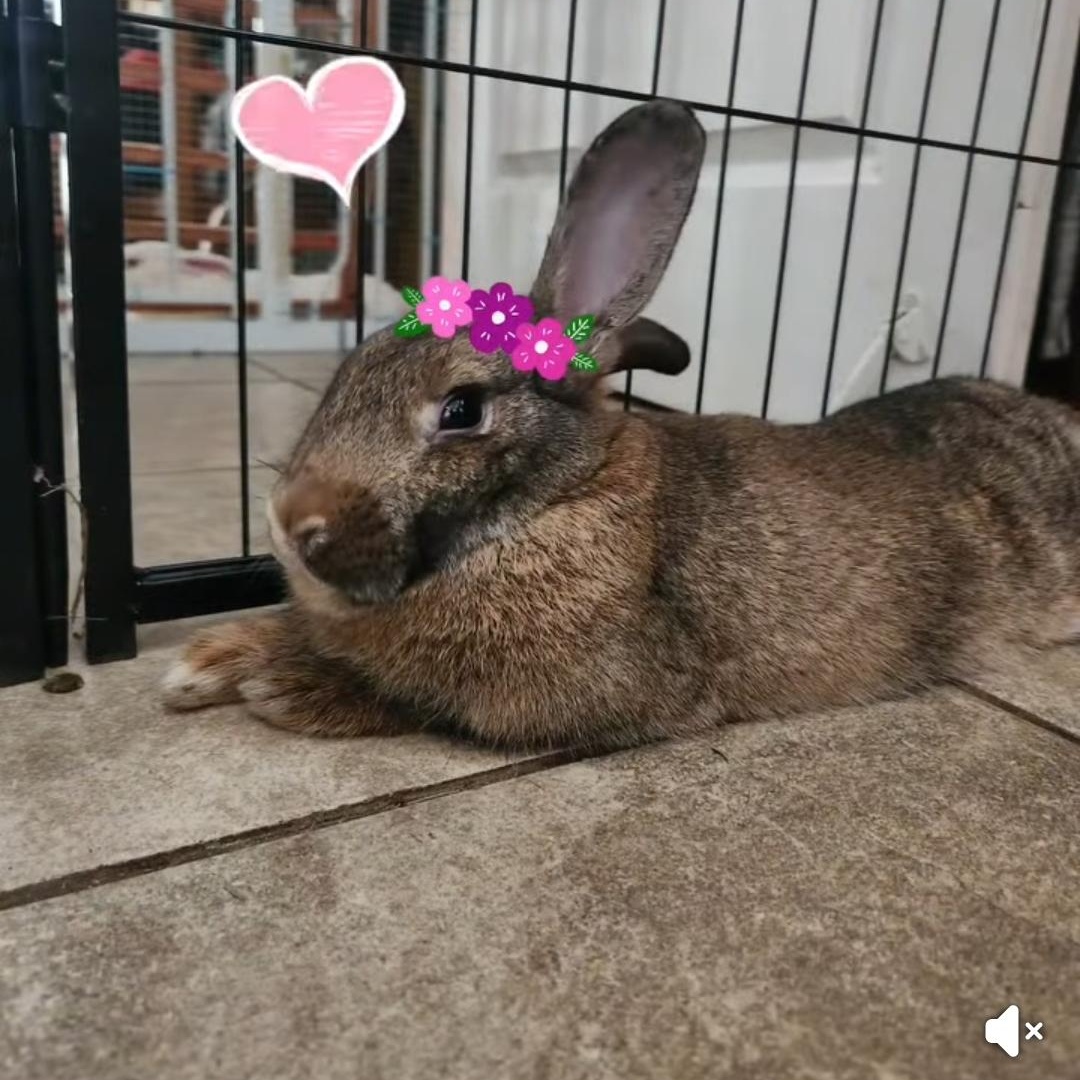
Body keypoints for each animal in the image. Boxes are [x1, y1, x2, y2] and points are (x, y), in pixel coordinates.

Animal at [163, 99, 1080, 751]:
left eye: (462, 410)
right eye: (347, 373)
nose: (290, 525)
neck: (558, 497)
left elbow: (416, 701)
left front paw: (265, 680)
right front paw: (208, 659)